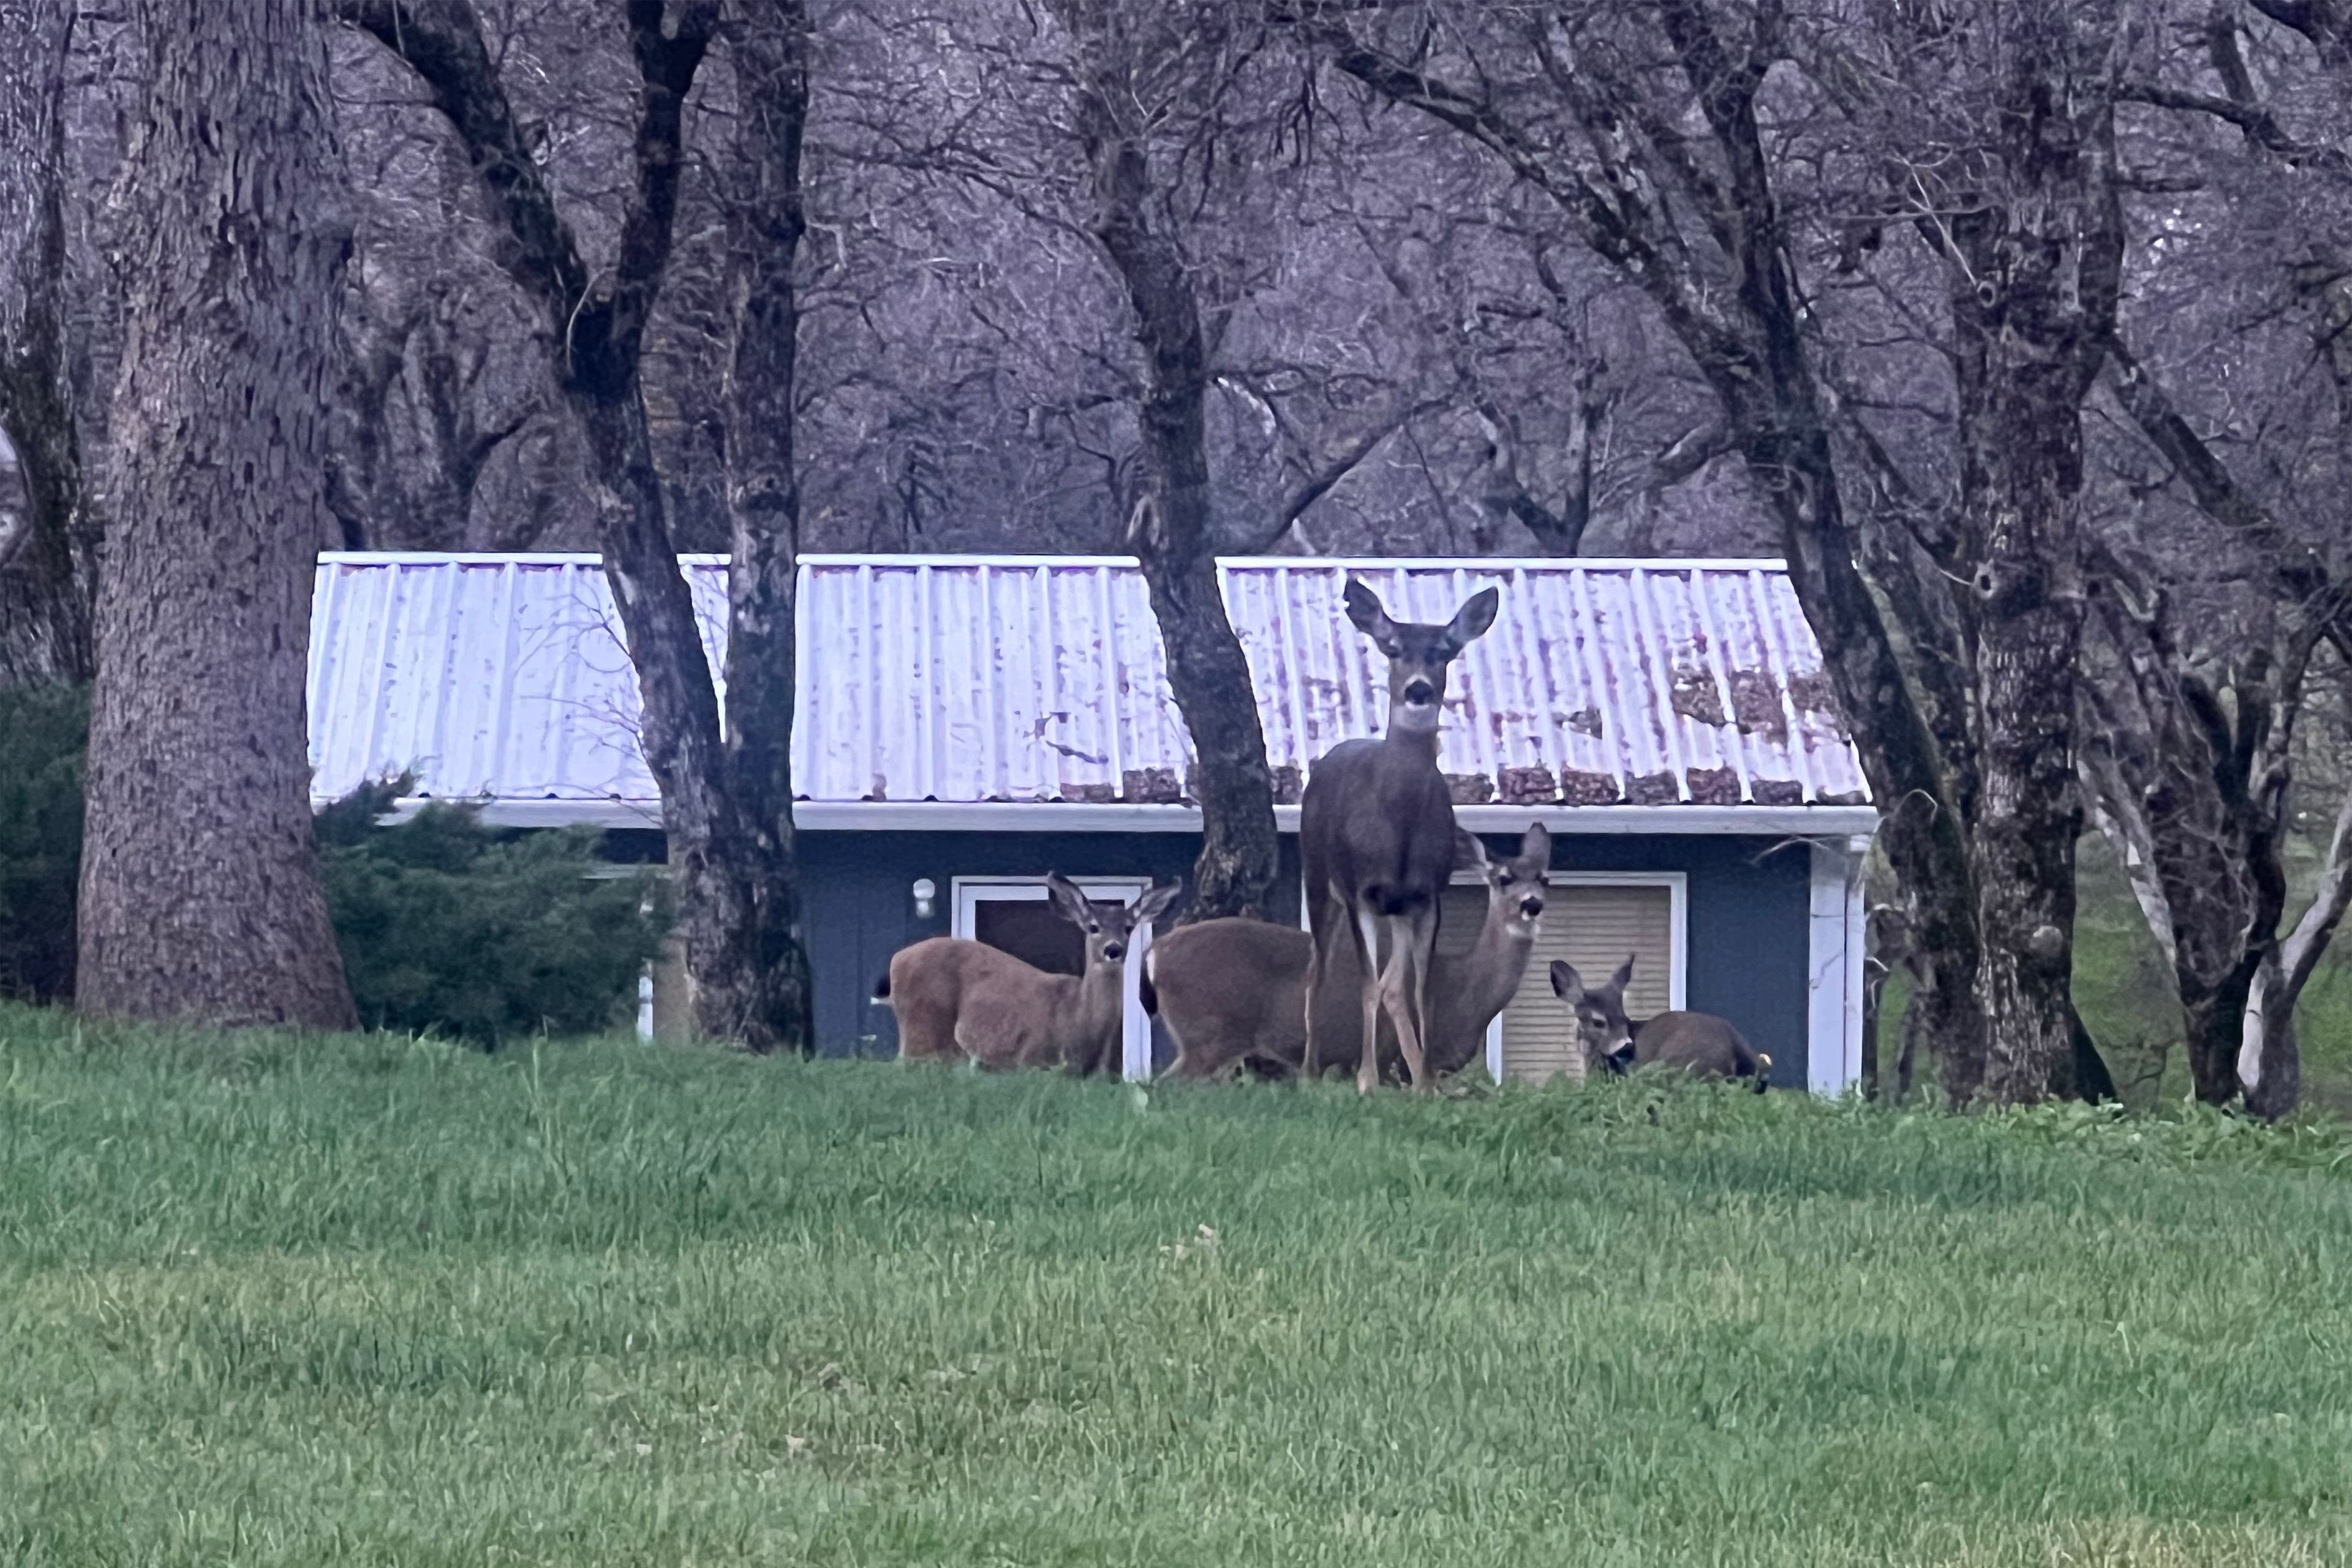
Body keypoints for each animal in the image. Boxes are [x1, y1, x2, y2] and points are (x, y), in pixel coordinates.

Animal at [874, 874, 1180, 1076]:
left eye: (1128, 928)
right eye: (1093, 927)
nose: (1113, 949)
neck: (1077, 1017)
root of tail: (897, 960)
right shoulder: (1030, 1058)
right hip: (923, 1029)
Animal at [1147, 824, 1551, 1084]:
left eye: (1544, 878)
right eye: (1503, 878)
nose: (1532, 905)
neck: (1461, 992)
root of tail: (1154, 954)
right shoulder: (1391, 1055)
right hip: (1209, 1031)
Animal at [1300, 578, 1500, 1095]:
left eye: (1446, 650)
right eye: (1391, 647)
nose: (1419, 689)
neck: (1398, 827)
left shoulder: (1427, 896)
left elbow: (1418, 989)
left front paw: (1426, 1082)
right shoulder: (1361, 893)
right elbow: (1367, 986)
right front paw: (1367, 1080)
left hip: (1398, 911)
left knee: (1392, 982)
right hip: (1319, 880)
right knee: (1317, 971)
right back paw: (1309, 1072)